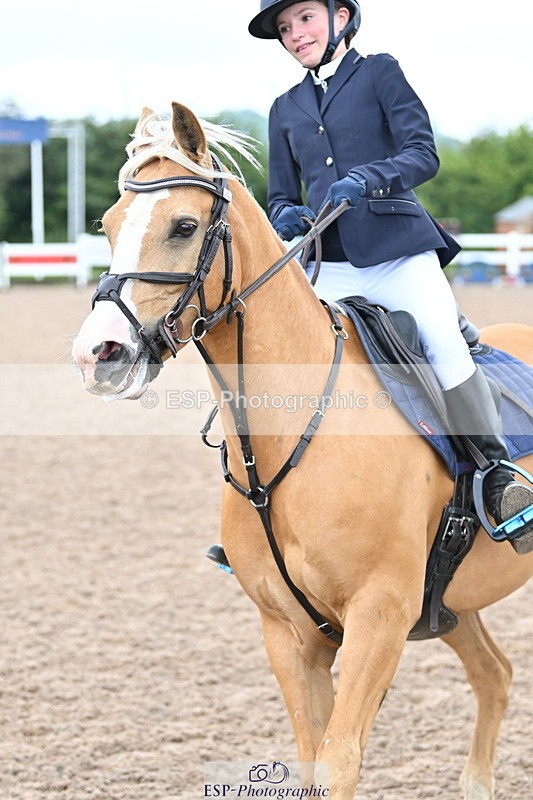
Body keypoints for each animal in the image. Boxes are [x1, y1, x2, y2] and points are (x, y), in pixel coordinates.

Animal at [72, 102, 533, 800]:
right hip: (455, 603)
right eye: (108, 225)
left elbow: (340, 759)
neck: (290, 442)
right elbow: (312, 756)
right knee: (495, 675)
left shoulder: (379, 617)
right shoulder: (290, 633)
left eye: (184, 226)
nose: (99, 353)